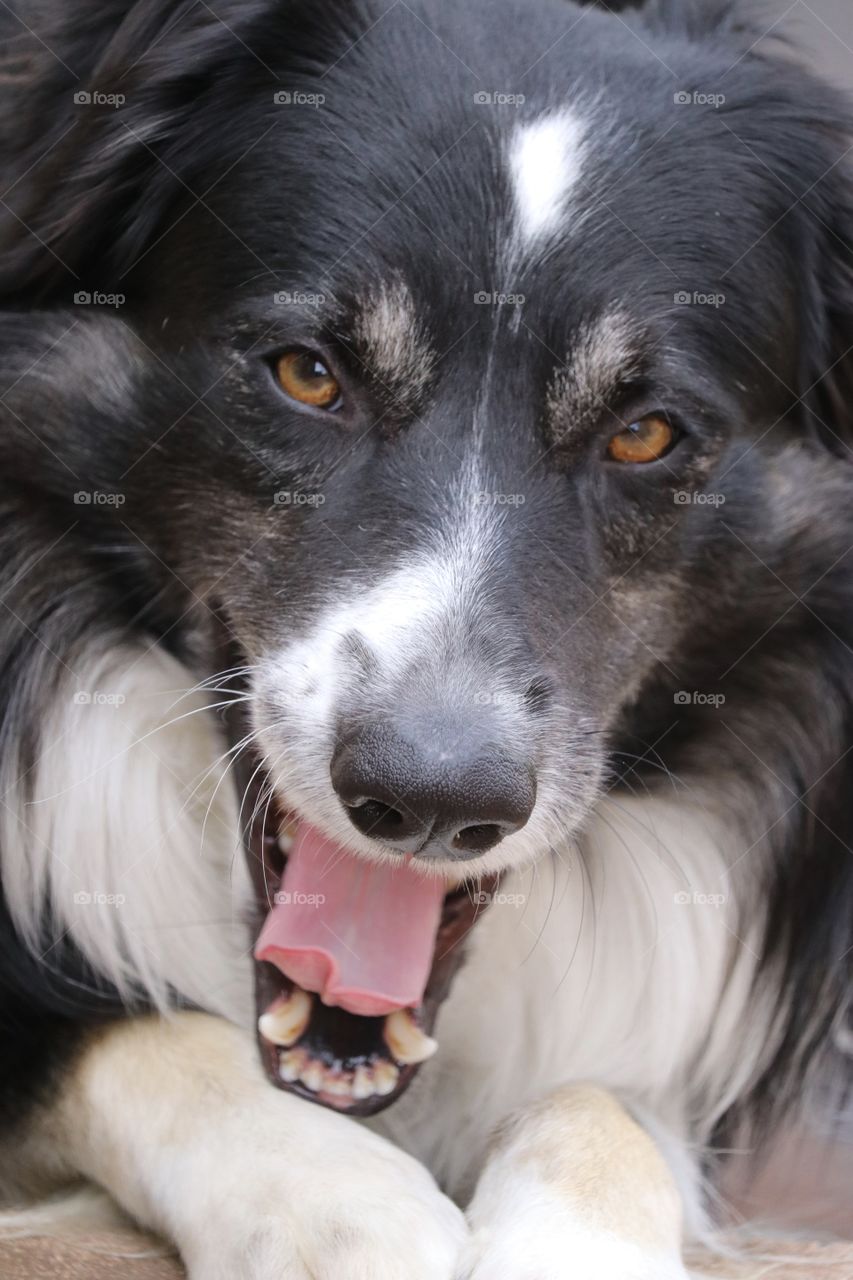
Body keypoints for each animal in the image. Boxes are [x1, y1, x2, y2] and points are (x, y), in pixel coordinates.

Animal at [0, 0, 845, 1274]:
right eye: (307, 374)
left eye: (646, 433)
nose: (434, 800)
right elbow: (137, 1033)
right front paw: (342, 1209)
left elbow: (602, 1104)